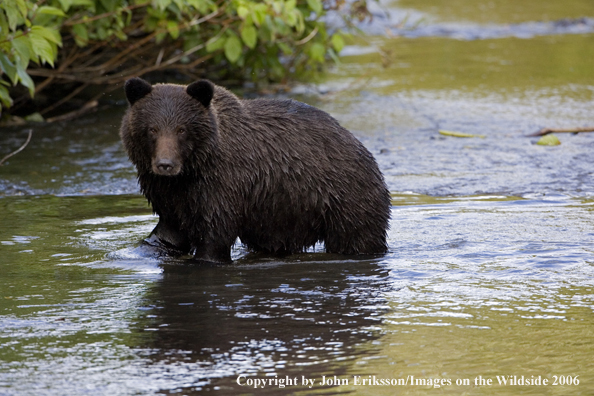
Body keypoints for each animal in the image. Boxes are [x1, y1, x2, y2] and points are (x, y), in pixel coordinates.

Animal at [118, 78, 390, 262]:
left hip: (344, 197)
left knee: (357, 238)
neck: (193, 169)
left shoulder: (223, 184)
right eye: (152, 129)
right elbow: (168, 234)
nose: (165, 164)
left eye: (181, 129)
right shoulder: (169, 194)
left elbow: (214, 238)